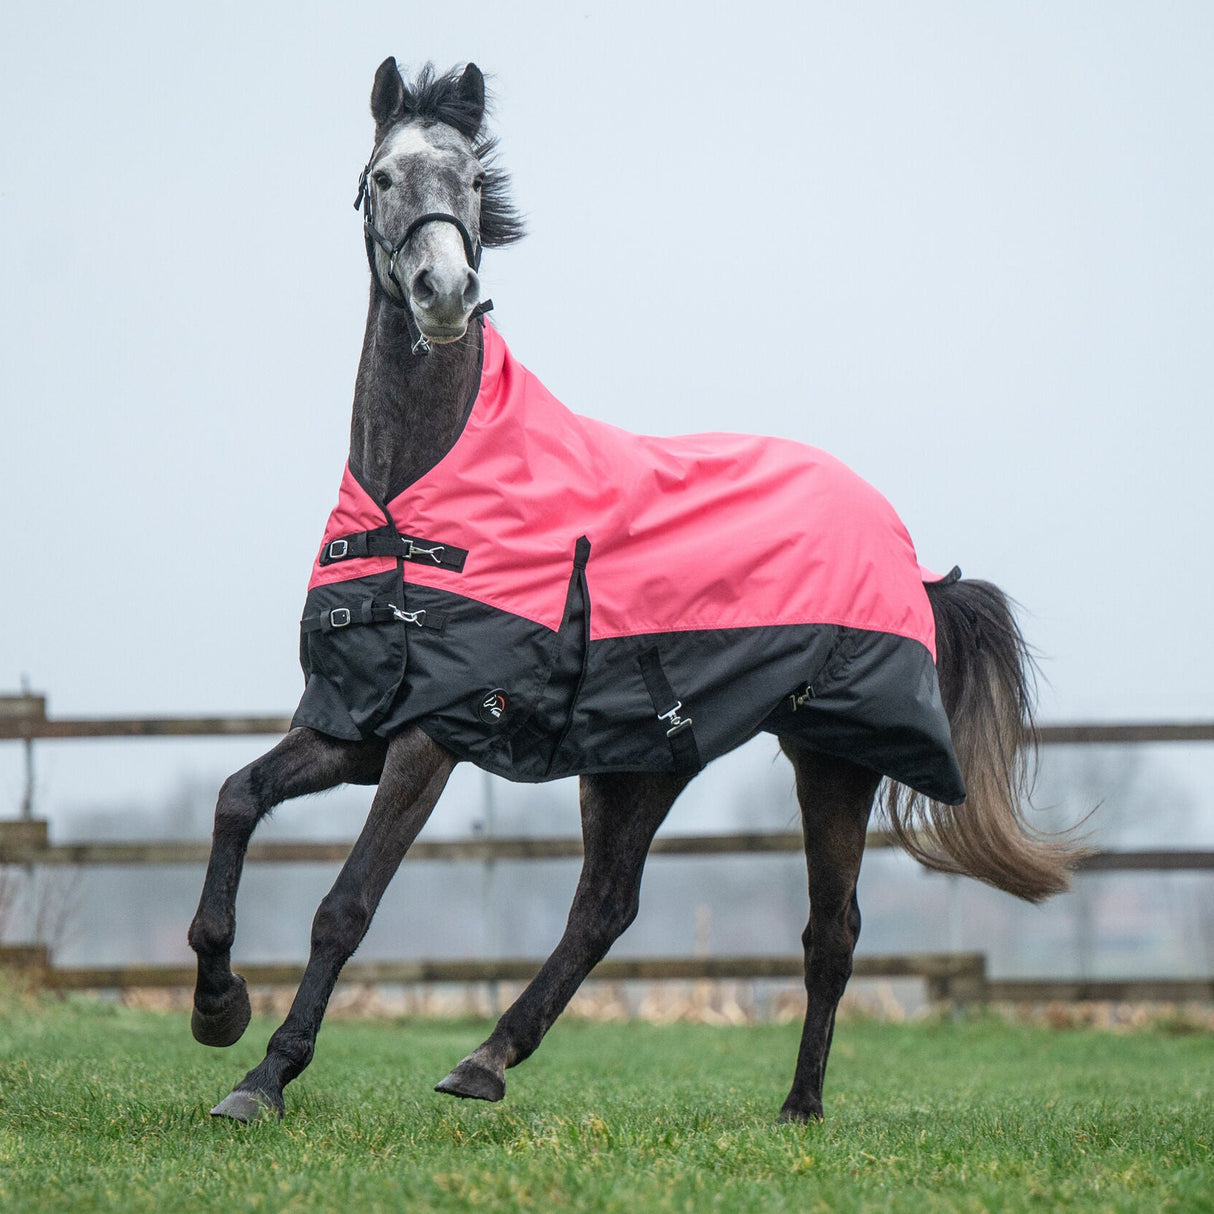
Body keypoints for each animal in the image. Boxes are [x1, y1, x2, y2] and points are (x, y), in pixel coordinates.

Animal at [189, 54, 1082, 1116]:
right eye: (381, 178)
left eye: (474, 183)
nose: (445, 291)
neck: (414, 503)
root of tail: (907, 553)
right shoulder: (351, 723)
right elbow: (236, 799)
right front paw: (217, 1005)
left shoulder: (429, 737)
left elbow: (347, 904)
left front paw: (265, 1076)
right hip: (641, 761)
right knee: (606, 906)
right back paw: (485, 1061)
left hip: (830, 757)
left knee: (830, 930)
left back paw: (799, 1108)